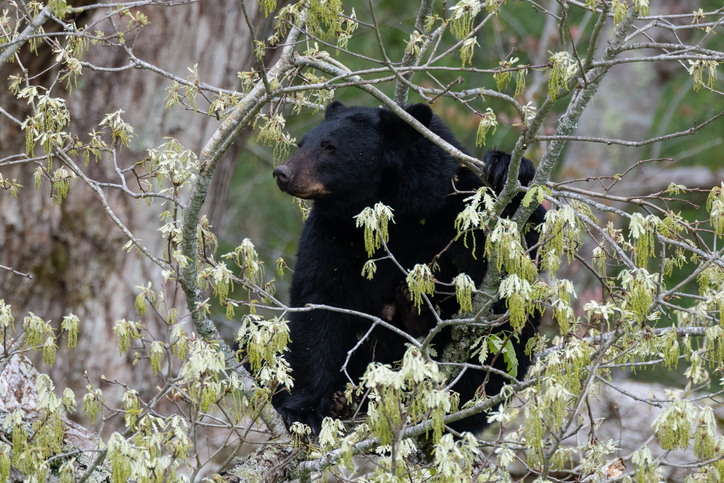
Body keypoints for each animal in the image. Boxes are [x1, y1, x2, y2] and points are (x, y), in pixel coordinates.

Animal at [270, 101, 546, 434]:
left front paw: (505, 168)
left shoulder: (456, 208)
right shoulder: (335, 234)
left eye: (329, 147)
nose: (283, 173)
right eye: (302, 144)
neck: (398, 208)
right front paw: (304, 409)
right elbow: (319, 301)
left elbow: (522, 254)